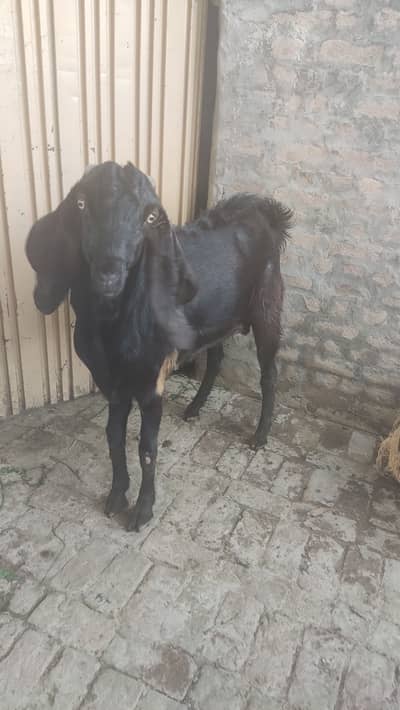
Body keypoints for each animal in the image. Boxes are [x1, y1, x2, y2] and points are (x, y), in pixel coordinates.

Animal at [26, 161, 292, 531]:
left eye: (150, 216)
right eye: (80, 203)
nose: (109, 273)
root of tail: (265, 212)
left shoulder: (151, 384)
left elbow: (147, 449)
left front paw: (142, 510)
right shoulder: (112, 383)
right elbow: (113, 436)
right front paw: (116, 496)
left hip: (267, 308)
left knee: (269, 373)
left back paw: (260, 435)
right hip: (213, 320)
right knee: (216, 356)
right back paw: (195, 407)